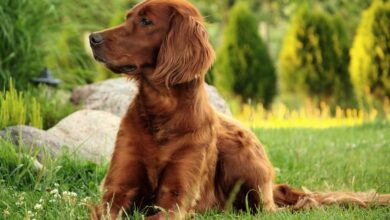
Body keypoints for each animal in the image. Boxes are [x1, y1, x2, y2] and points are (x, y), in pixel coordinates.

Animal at [89, 0, 390, 218]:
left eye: (146, 21)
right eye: (128, 17)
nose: (93, 37)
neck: (162, 112)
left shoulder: (175, 198)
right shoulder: (116, 193)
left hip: (241, 156)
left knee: (277, 208)